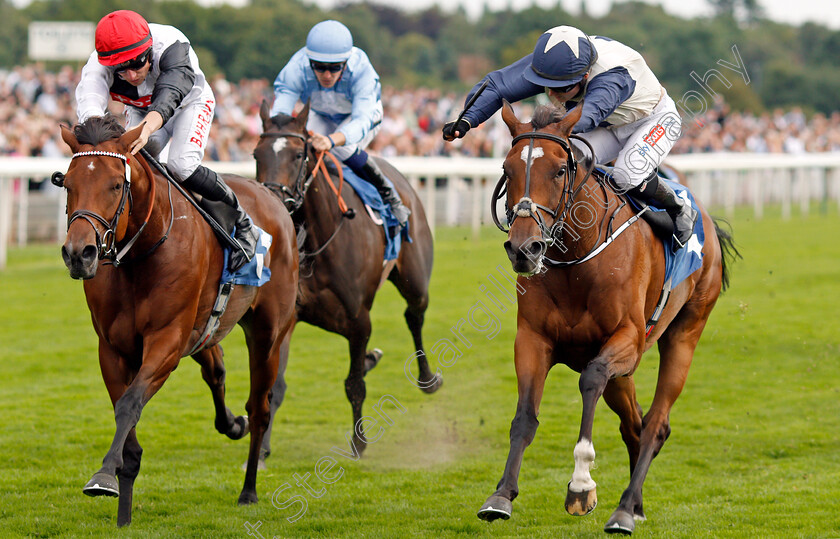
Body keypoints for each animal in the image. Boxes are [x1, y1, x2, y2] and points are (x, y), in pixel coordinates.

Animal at [56, 118, 298, 528]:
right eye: (68, 183)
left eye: (116, 185)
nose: (79, 254)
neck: (141, 254)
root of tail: (270, 197)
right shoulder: (113, 349)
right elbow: (126, 412)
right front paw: (123, 509)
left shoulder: (166, 341)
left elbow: (129, 403)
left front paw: (103, 476)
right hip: (203, 331)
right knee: (215, 370)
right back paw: (232, 424)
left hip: (267, 334)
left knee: (260, 409)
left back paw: (249, 489)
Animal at [251, 100, 440, 456]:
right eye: (257, 154)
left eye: (297, 155)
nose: (274, 203)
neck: (317, 240)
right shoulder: (289, 316)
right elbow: (274, 385)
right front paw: (263, 450)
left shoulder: (358, 320)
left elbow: (354, 384)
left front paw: (359, 441)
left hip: (416, 279)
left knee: (415, 315)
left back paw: (427, 379)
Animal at [476, 102, 740, 536]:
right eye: (507, 168)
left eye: (559, 170)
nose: (524, 248)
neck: (576, 260)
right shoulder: (532, 339)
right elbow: (525, 417)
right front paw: (500, 496)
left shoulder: (627, 339)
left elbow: (591, 379)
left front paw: (581, 485)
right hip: (626, 374)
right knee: (635, 424)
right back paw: (636, 504)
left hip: (684, 332)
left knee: (655, 423)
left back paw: (624, 510)